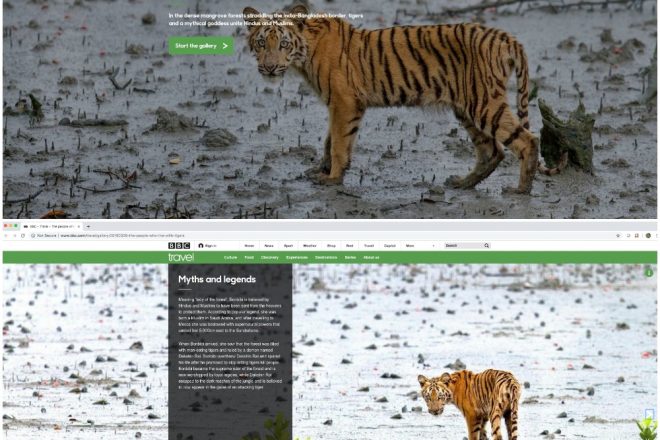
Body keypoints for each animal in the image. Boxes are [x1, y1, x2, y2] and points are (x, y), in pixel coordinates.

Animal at [243, 5, 565, 194]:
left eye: (283, 44)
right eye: (261, 43)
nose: (269, 68)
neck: (304, 53)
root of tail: (505, 36)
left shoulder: (344, 101)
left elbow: (338, 143)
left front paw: (332, 178)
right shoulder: (338, 104)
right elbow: (329, 140)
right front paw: (321, 170)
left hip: (483, 103)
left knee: (526, 140)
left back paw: (520, 189)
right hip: (466, 107)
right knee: (491, 150)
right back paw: (462, 183)